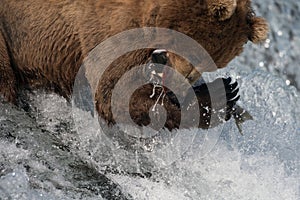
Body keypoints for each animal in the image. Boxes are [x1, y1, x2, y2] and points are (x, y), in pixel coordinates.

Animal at [0, 0, 268, 130]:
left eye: (208, 66)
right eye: (192, 53)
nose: (172, 89)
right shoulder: (110, 23)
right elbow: (114, 92)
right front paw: (223, 93)